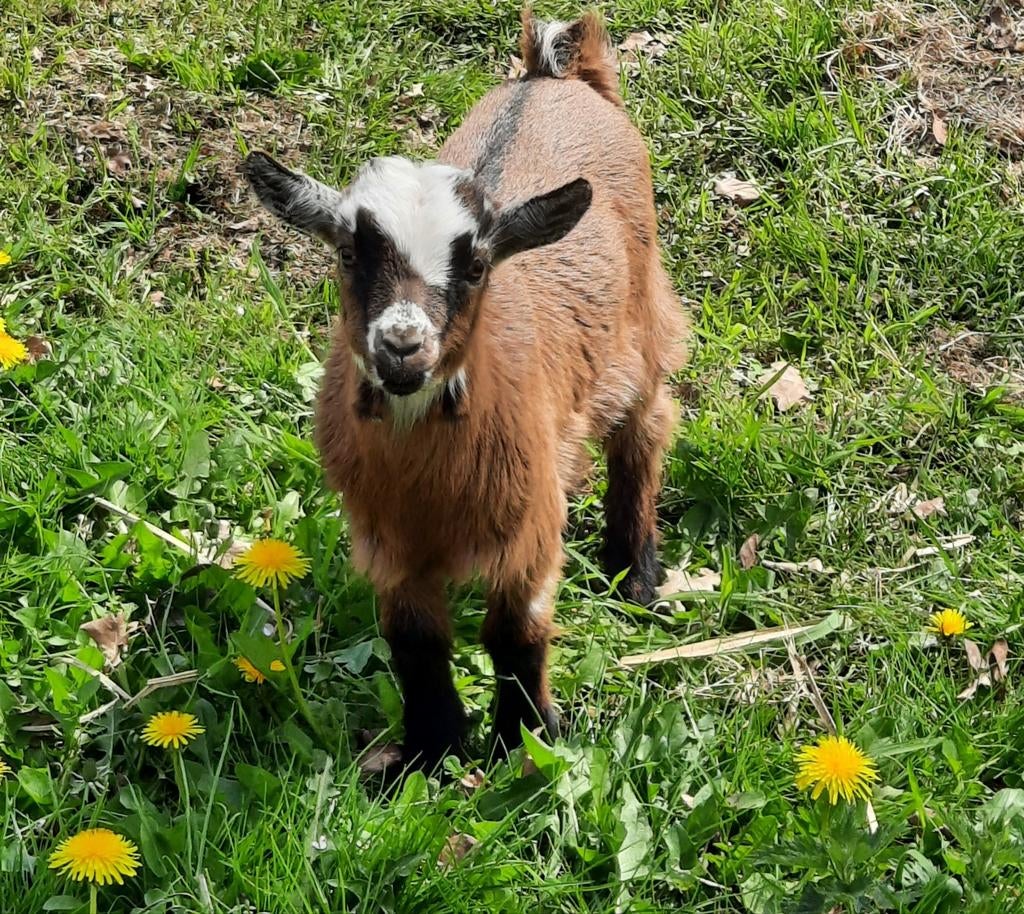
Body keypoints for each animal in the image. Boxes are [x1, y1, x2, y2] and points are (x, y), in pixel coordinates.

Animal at [244, 8, 688, 769]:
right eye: (347, 252)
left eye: (477, 265)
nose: (401, 345)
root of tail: (551, 73)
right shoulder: (388, 543)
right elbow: (415, 643)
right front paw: (430, 750)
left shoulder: (531, 526)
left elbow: (516, 635)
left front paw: (524, 740)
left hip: (644, 323)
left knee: (647, 428)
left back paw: (635, 576)